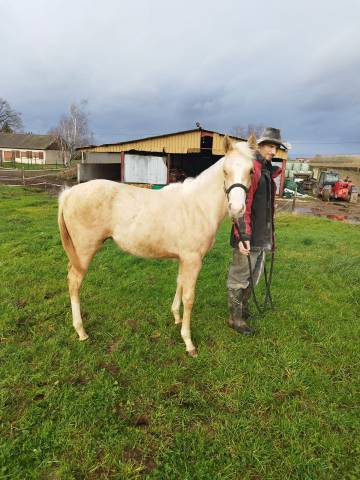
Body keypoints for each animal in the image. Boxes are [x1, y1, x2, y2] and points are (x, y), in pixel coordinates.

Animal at [58, 135, 256, 356]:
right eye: (225, 171)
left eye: (251, 171)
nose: (237, 208)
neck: (197, 205)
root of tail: (68, 194)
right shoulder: (193, 259)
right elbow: (189, 297)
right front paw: (188, 342)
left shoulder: (184, 259)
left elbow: (179, 283)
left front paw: (176, 317)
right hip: (84, 252)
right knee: (74, 282)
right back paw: (81, 331)